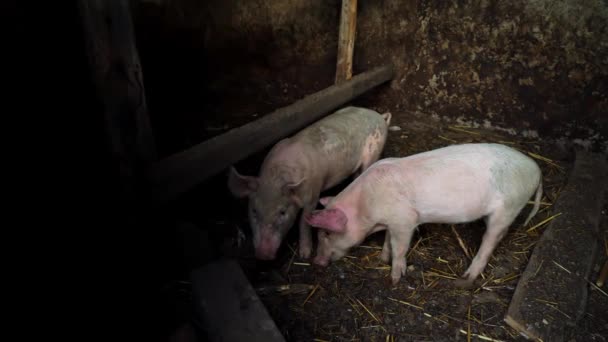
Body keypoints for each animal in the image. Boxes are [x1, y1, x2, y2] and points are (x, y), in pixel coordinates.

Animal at [227, 107, 390, 260]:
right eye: (254, 211)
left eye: (282, 212)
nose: (263, 254)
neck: (275, 178)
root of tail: (379, 115)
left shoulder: (313, 193)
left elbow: (303, 222)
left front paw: (305, 255)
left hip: (374, 152)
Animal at [306, 143, 544, 288]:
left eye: (326, 233)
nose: (316, 262)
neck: (366, 205)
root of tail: (537, 169)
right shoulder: (392, 221)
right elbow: (388, 241)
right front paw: (382, 258)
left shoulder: (405, 219)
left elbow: (400, 248)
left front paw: (394, 279)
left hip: (509, 206)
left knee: (490, 241)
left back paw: (467, 277)